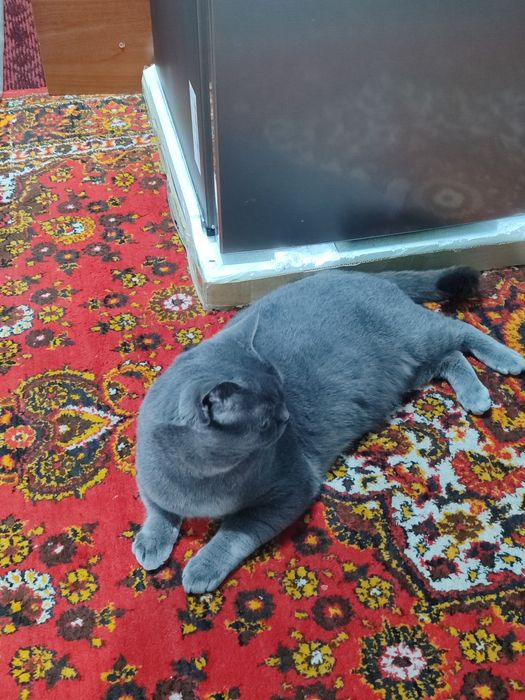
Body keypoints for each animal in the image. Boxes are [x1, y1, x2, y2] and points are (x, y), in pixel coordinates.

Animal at [133, 266, 525, 593]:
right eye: (266, 419)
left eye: (282, 392)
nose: (287, 417)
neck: (200, 481)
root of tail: (363, 273)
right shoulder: (150, 481)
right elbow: (157, 510)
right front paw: (151, 543)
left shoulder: (289, 491)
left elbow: (235, 530)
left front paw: (202, 567)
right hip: (413, 369)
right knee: (451, 357)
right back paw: (475, 392)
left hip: (417, 337)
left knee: (461, 331)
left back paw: (504, 365)